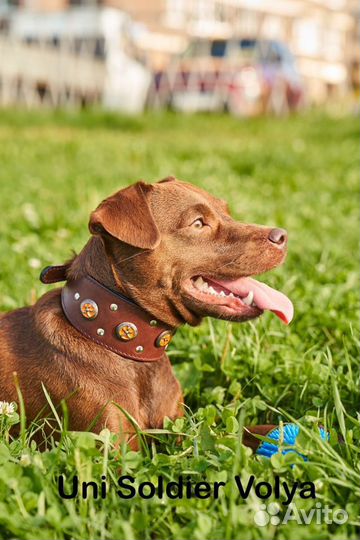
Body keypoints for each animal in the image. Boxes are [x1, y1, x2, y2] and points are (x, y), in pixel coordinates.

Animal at [0, 177, 292, 448]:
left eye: (227, 212)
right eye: (198, 223)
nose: (283, 236)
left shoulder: (179, 430)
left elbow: (232, 434)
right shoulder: (113, 446)